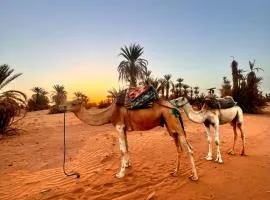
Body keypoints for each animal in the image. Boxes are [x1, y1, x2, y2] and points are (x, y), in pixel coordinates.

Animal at [62, 100, 198, 181]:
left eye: (73, 103)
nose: (61, 106)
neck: (110, 113)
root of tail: (175, 108)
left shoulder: (119, 126)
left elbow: (122, 150)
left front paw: (119, 174)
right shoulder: (124, 128)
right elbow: (126, 147)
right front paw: (127, 165)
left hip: (174, 122)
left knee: (189, 150)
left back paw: (194, 176)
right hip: (170, 126)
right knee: (180, 148)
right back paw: (175, 172)